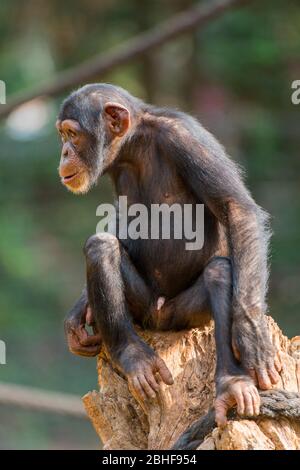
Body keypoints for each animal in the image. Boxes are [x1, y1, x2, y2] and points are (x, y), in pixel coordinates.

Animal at [55, 84, 282, 426]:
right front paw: (80, 311)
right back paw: (134, 358)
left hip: (183, 315)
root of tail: (160, 318)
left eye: (73, 134)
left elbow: (236, 209)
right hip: (143, 307)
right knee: (100, 246)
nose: (65, 153)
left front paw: (252, 334)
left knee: (220, 272)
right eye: (63, 135)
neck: (135, 144)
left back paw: (232, 384)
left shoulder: (186, 139)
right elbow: (118, 221)